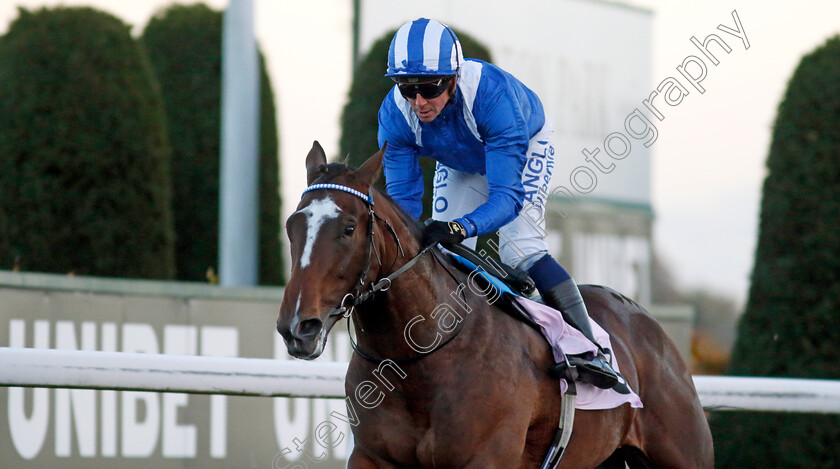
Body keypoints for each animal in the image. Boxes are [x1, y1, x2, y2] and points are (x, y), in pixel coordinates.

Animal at [278, 141, 712, 466]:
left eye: (349, 228)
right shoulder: (372, 457)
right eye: (291, 226)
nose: (297, 326)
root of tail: (645, 320)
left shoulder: (485, 459)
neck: (416, 361)